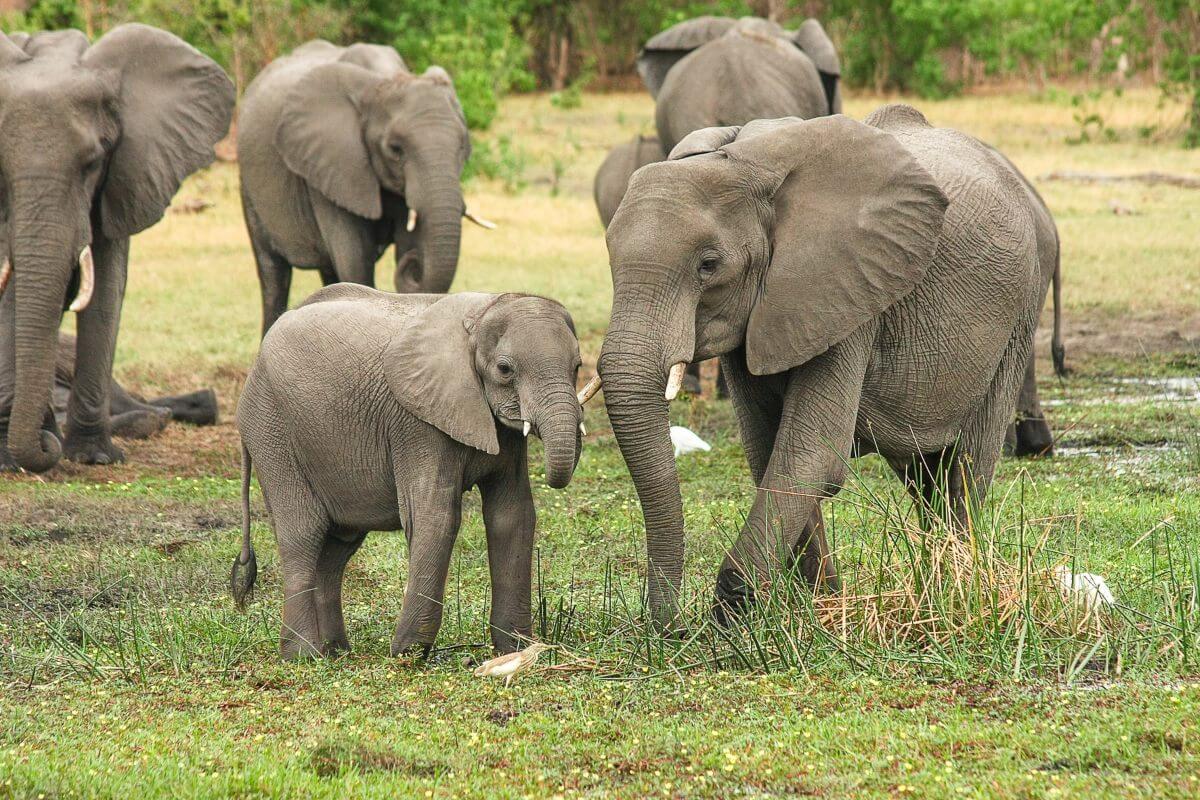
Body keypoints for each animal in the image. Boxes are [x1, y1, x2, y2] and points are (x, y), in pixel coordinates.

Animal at [229, 284, 585, 662]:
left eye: (577, 366)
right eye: (505, 369)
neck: (483, 311)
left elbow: (512, 515)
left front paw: (516, 650)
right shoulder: (417, 423)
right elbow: (436, 516)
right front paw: (408, 655)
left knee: (338, 547)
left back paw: (336, 652)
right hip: (271, 430)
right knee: (303, 533)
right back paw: (303, 656)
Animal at [595, 107, 1065, 633]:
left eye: (708, 265)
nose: (669, 627)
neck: (745, 164)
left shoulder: (849, 293)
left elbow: (812, 454)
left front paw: (732, 618)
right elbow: (768, 451)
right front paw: (820, 608)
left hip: (1019, 312)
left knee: (965, 466)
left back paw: (953, 589)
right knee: (924, 473)